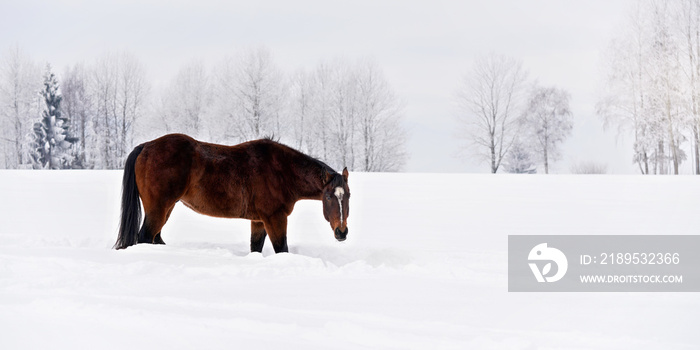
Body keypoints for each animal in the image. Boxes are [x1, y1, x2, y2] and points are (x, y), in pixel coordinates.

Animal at [114, 133, 350, 253]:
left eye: (348, 196)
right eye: (329, 196)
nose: (342, 232)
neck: (282, 170)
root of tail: (146, 146)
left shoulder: (259, 221)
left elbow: (256, 248)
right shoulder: (275, 218)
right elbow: (281, 248)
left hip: (167, 208)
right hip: (158, 209)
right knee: (146, 237)